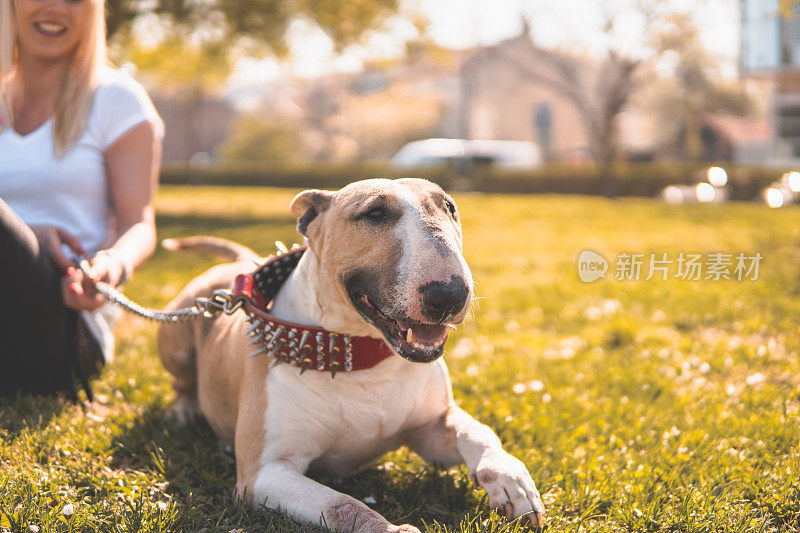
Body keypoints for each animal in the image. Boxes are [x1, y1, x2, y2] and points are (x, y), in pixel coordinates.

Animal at [158, 177, 544, 528]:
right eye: (374, 213)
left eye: (448, 207)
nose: (450, 296)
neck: (358, 356)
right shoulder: (263, 473)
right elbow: (342, 505)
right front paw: (393, 528)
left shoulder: (430, 428)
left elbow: (478, 431)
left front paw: (510, 479)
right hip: (176, 343)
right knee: (182, 382)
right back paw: (184, 411)